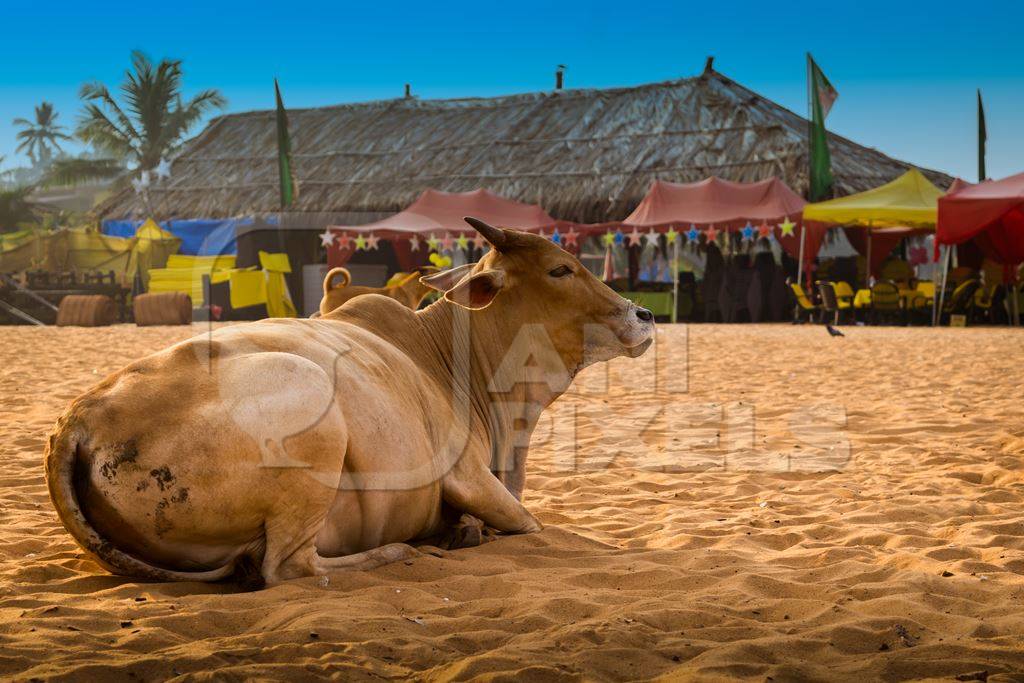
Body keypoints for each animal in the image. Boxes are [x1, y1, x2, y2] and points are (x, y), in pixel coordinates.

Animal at [44, 219, 651, 589]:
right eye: (560, 269)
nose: (644, 315)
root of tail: (81, 419)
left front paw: (460, 531)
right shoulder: (469, 476)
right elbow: (530, 525)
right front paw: (462, 533)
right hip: (312, 412)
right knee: (286, 567)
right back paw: (397, 552)